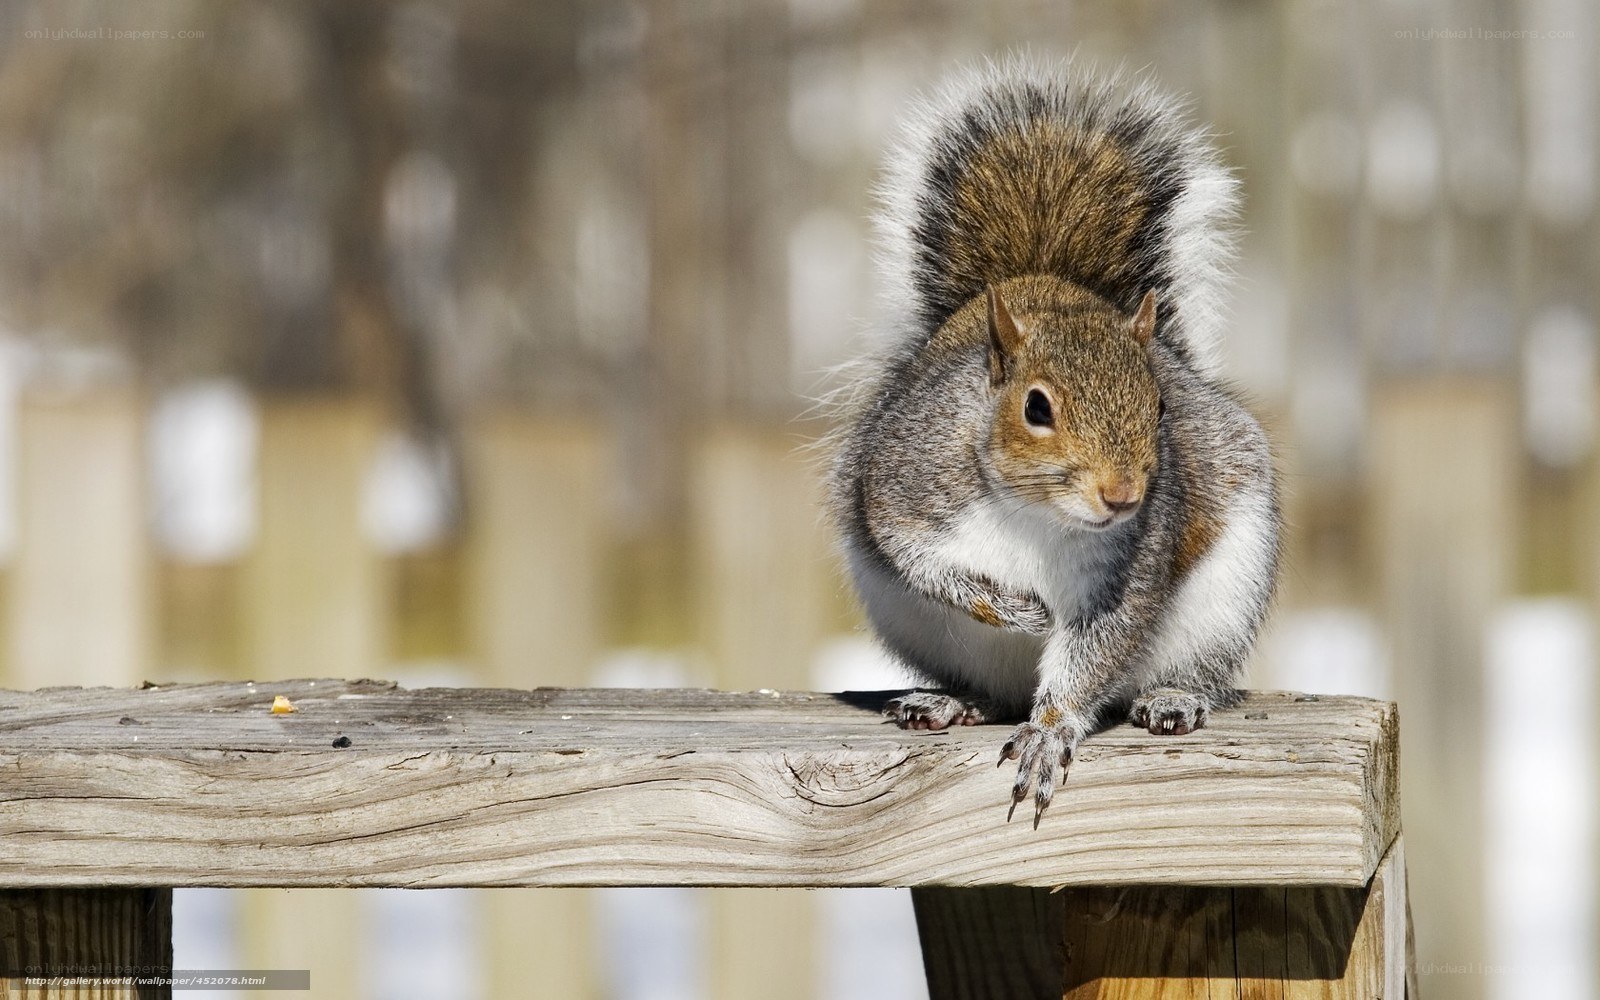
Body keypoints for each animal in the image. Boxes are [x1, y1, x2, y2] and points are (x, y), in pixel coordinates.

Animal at [828, 56, 1280, 825]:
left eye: (1161, 404)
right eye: (1036, 407)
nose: (1123, 496)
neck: (1033, 512)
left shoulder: (1128, 565)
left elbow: (1096, 650)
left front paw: (1050, 732)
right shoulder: (903, 481)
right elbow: (914, 555)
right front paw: (1008, 605)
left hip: (1226, 598)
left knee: (1194, 671)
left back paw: (1175, 698)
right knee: (985, 687)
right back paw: (950, 700)